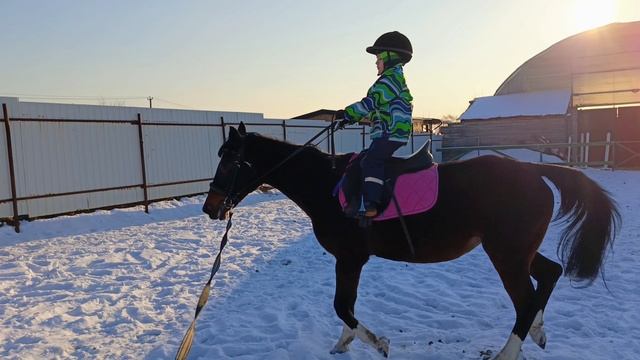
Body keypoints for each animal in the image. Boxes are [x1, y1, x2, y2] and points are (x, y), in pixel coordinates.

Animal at [201, 122, 620, 358]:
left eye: (229, 160)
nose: (210, 207)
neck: (326, 185)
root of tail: (533, 171)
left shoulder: (350, 258)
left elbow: (342, 306)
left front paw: (377, 344)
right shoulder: (349, 260)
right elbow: (346, 305)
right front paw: (343, 343)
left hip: (507, 255)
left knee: (525, 300)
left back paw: (507, 353)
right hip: (518, 251)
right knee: (549, 275)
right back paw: (539, 331)